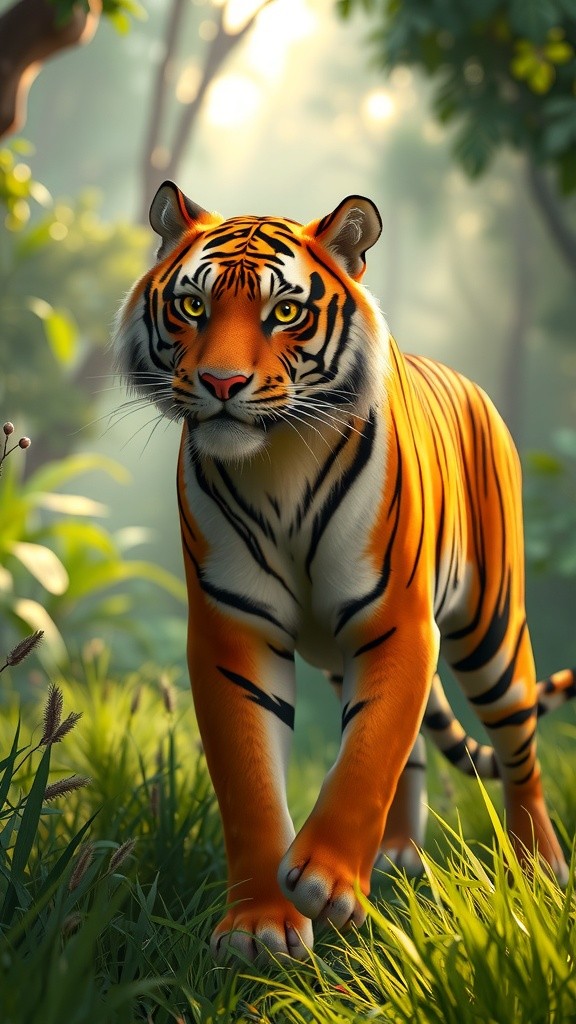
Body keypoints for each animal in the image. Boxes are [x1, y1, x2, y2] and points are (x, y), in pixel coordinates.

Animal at [114, 181, 576, 963]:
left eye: (285, 312)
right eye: (193, 306)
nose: (221, 382)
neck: (276, 462)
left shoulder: (397, 621)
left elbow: (370, 751)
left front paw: (327, 883)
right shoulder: (233, 630)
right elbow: (251, 779)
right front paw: (260, 925)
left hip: (490, 630)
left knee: (519, 744)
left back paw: (537, 864)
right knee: (419, 749)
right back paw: (396, 857)